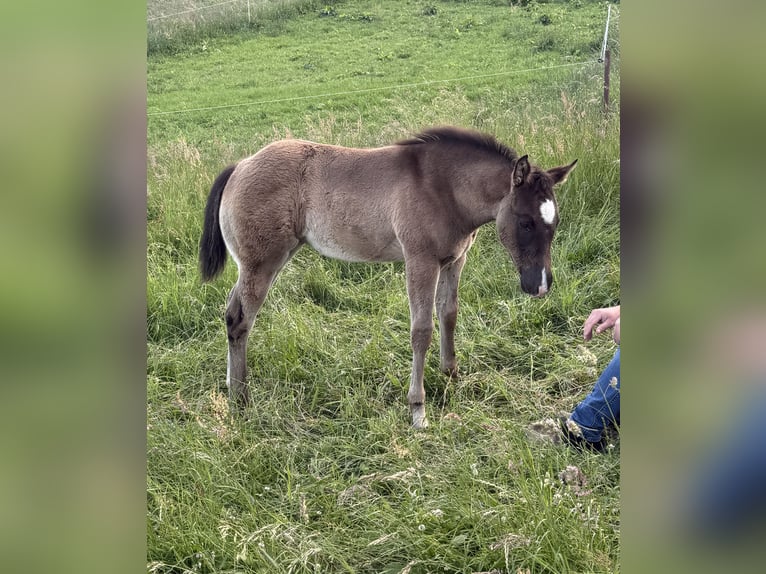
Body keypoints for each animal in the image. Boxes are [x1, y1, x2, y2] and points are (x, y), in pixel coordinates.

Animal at [199, 126, 576, 428]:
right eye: (526, 222)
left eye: (555, 223)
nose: (540, 285)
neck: (443, 187)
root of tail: (241, 165)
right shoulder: (420, 261)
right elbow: (421, 330)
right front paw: (418, 409)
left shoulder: (455, 259)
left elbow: (449, 314)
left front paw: (452, 376)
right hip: (261, 263)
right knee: (239, 319)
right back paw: (241, 400)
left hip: (268, 261)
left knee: (231, 312)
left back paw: (234, 389)